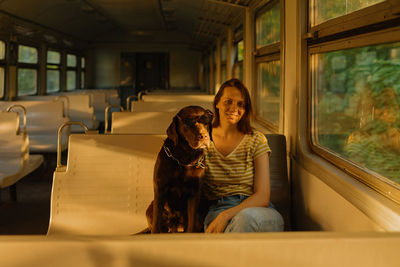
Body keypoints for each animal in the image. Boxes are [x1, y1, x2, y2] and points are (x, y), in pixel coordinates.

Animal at [145, 105, 212, 233]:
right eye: (189, 122)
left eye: (206, 122)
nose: (204, 136)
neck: (184, 160)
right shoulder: (160, 190)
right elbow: (156, 223)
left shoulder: (194, 193)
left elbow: (191, 224)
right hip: (150, 208)